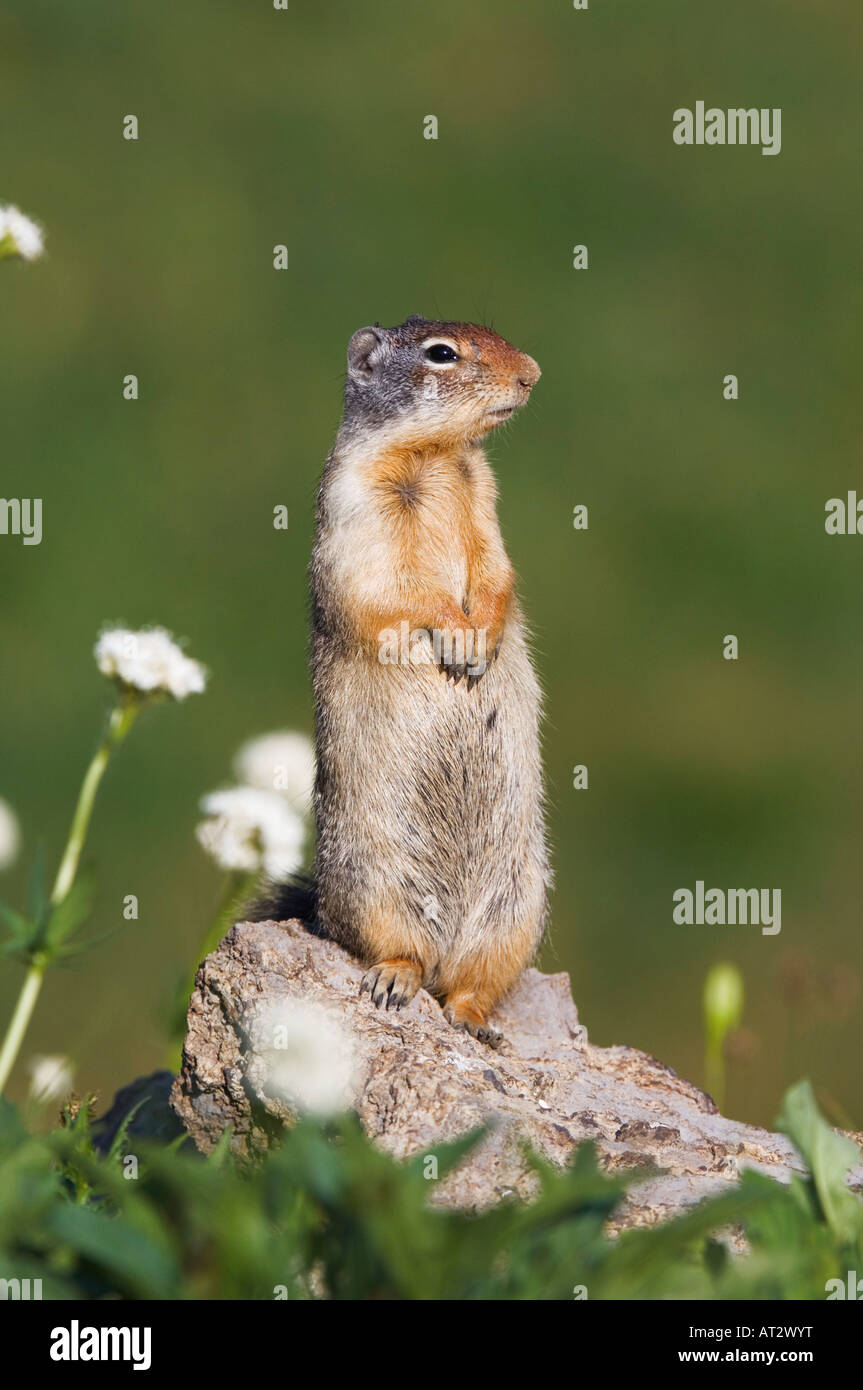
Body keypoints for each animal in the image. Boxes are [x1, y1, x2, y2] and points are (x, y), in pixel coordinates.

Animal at [259, 314, 550, 1045]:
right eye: (441, 354)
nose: (532, 374)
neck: (437, 457)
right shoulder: (356, 507)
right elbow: (394, 590)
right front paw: (456, 634)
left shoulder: (485, 501)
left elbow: (497, 569)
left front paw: (482, 635)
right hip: (377, 887)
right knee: (400, 952)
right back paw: (394, 980)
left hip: (517, 908)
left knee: (470, 985)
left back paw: (474, 1020)